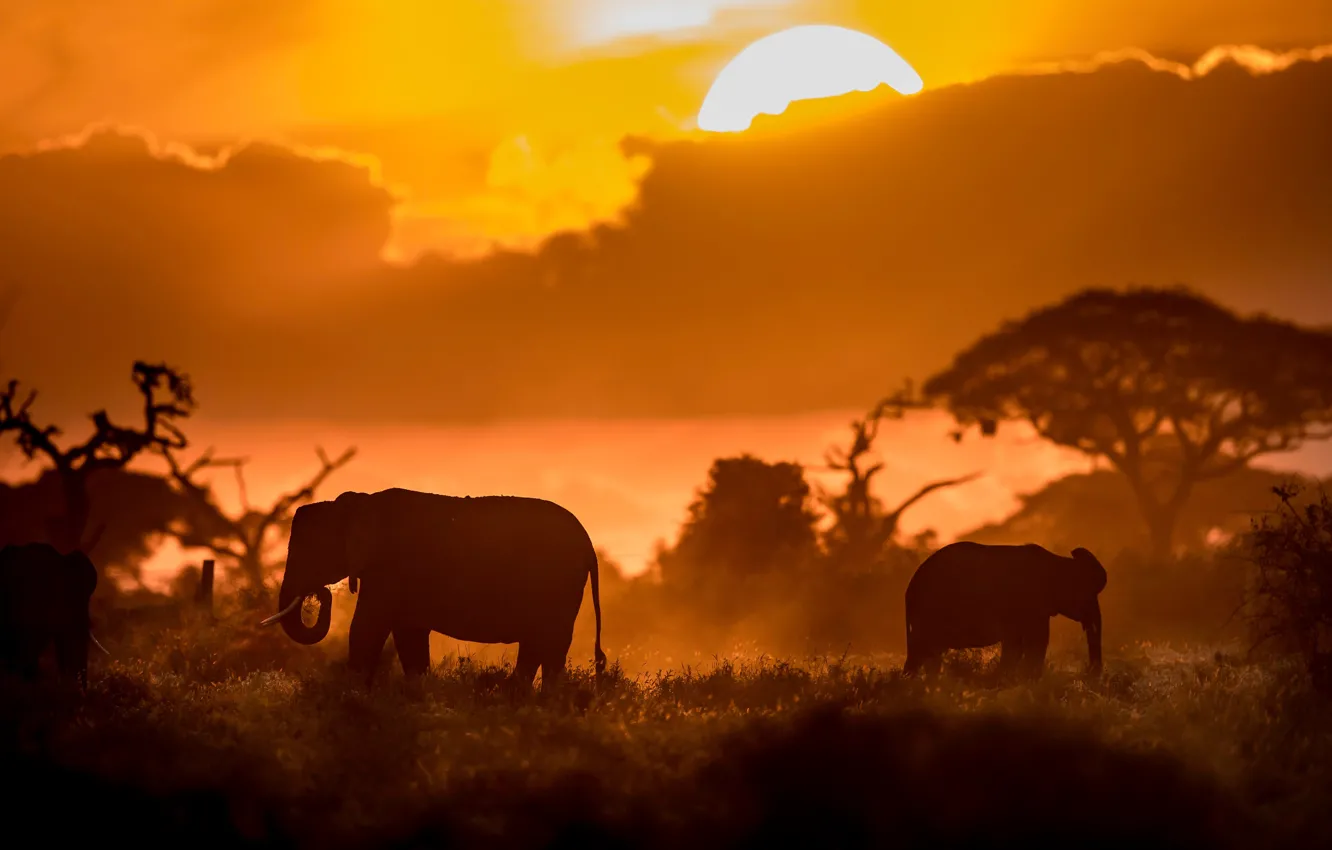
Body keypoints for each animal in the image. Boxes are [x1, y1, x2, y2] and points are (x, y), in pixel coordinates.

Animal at [258, 492, 610, 692]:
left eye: (310, 550)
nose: (319, 593)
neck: (354, 504)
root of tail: (589, 545)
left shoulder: (388, 568)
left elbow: (367, 628)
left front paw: (352, 694)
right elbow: (408, 634)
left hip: (557, 582)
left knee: (549, 643)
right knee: (539, 645)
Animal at [900, 543, 1108, 682]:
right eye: (1088, 593)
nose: (1090, 674)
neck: (1058, 561)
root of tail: (910, 588)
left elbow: (1016, 644)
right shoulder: (1033, 602)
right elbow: (1035, 642)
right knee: (925, 650)